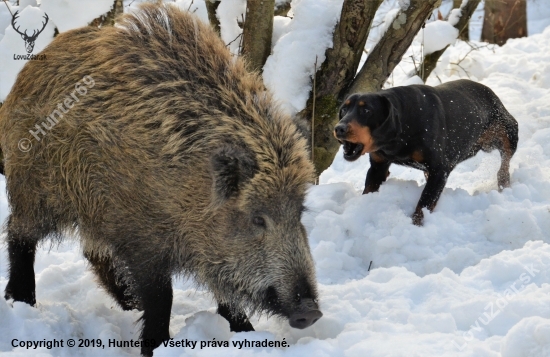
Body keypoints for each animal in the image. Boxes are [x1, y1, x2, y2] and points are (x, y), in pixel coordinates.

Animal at [334, 79, 520, 225]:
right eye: (343, 110)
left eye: (366, 110)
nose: (339, 128)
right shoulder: (378, 166)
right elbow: (369, 188)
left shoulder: (440, 170)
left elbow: (424, 203)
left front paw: (416, 225)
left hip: (507, 131)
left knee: (505, 162)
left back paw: (504, 182)